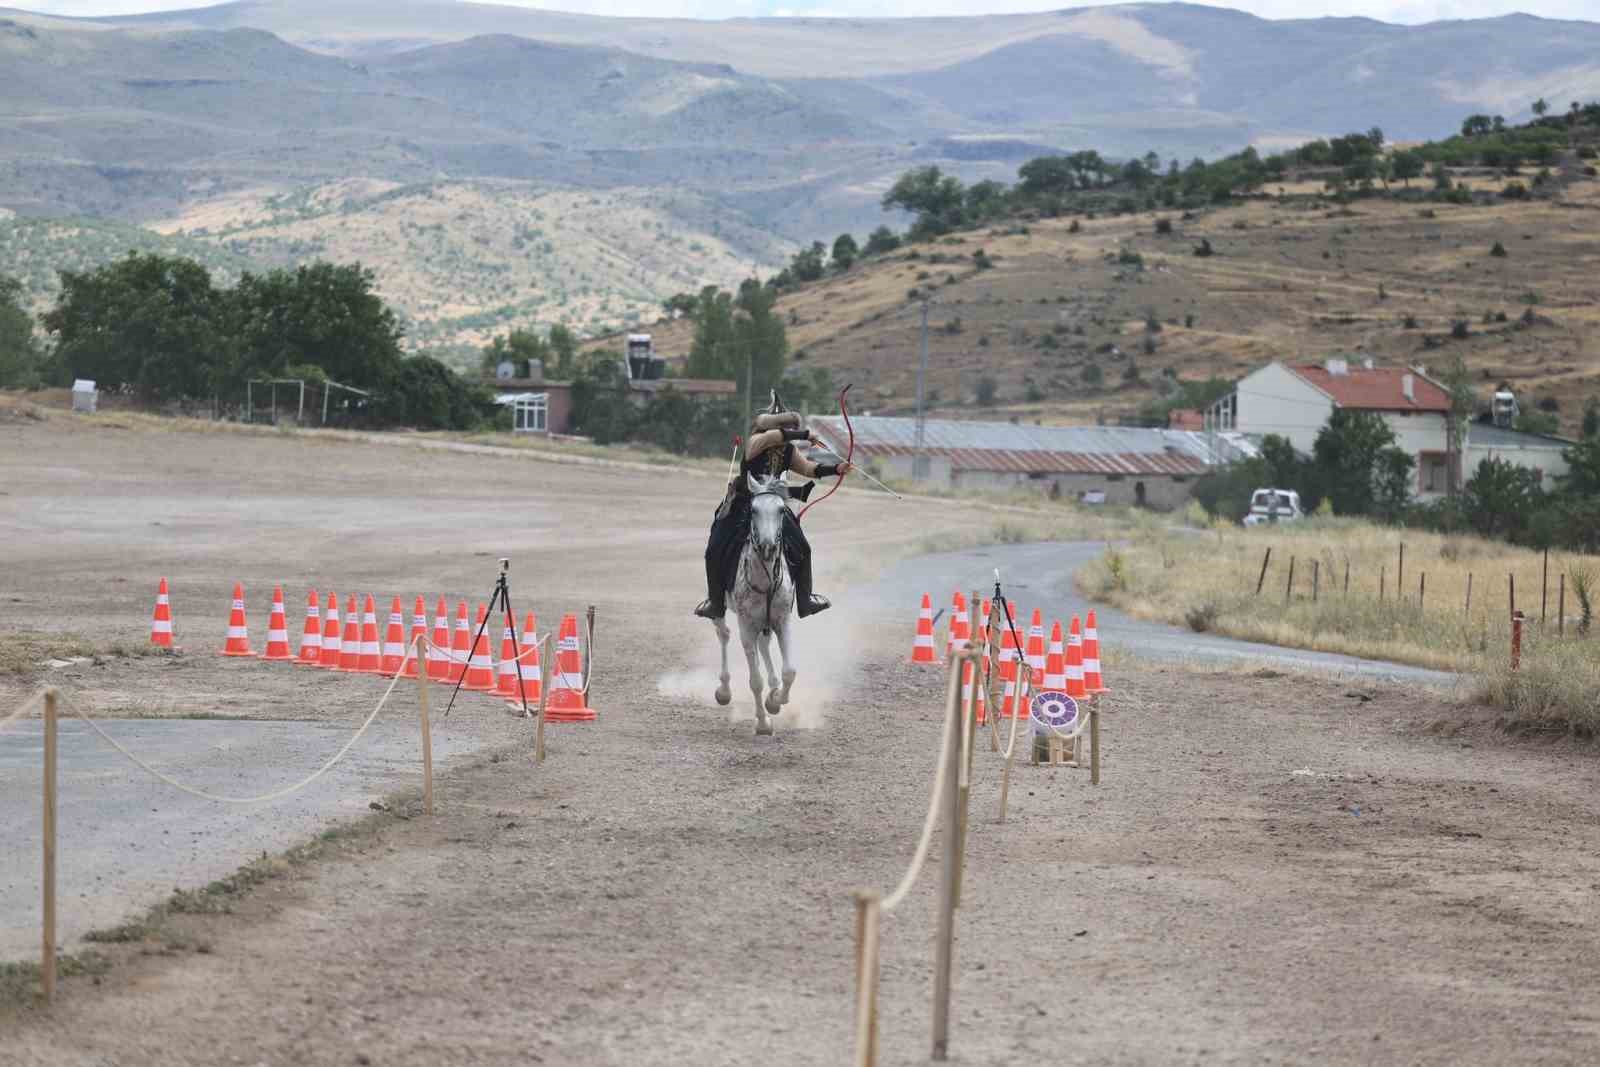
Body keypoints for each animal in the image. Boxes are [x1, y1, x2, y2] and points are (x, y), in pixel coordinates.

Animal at [716, 473, 796, 735]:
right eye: (753, 509)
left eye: (781, 510)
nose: (768, 546)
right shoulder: (747, 627)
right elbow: (755, 681)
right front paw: (763, 723)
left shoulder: (782, 621)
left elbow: (789, 671)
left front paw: (776, 700)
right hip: (719, 609)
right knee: (723, 634)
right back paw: (723, 691)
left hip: (766, 622)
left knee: (764, 645)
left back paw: (774, 688)